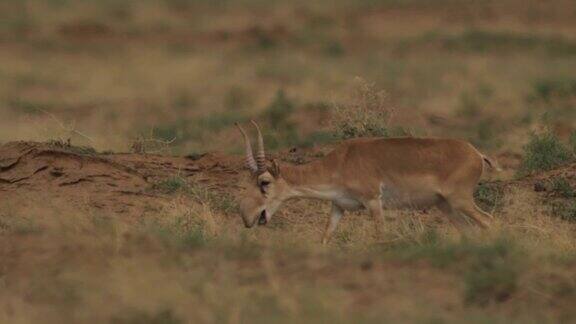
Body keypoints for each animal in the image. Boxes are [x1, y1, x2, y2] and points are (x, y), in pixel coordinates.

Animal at [234, 121, 496, 243]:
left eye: (264, 182)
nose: (247, 218)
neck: (341, 161)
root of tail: (477, 154)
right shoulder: (338, 206)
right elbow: (326, 236)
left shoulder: (373, 202)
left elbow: (380, 235)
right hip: (446, 207)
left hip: (460, 202)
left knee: (490, 221)